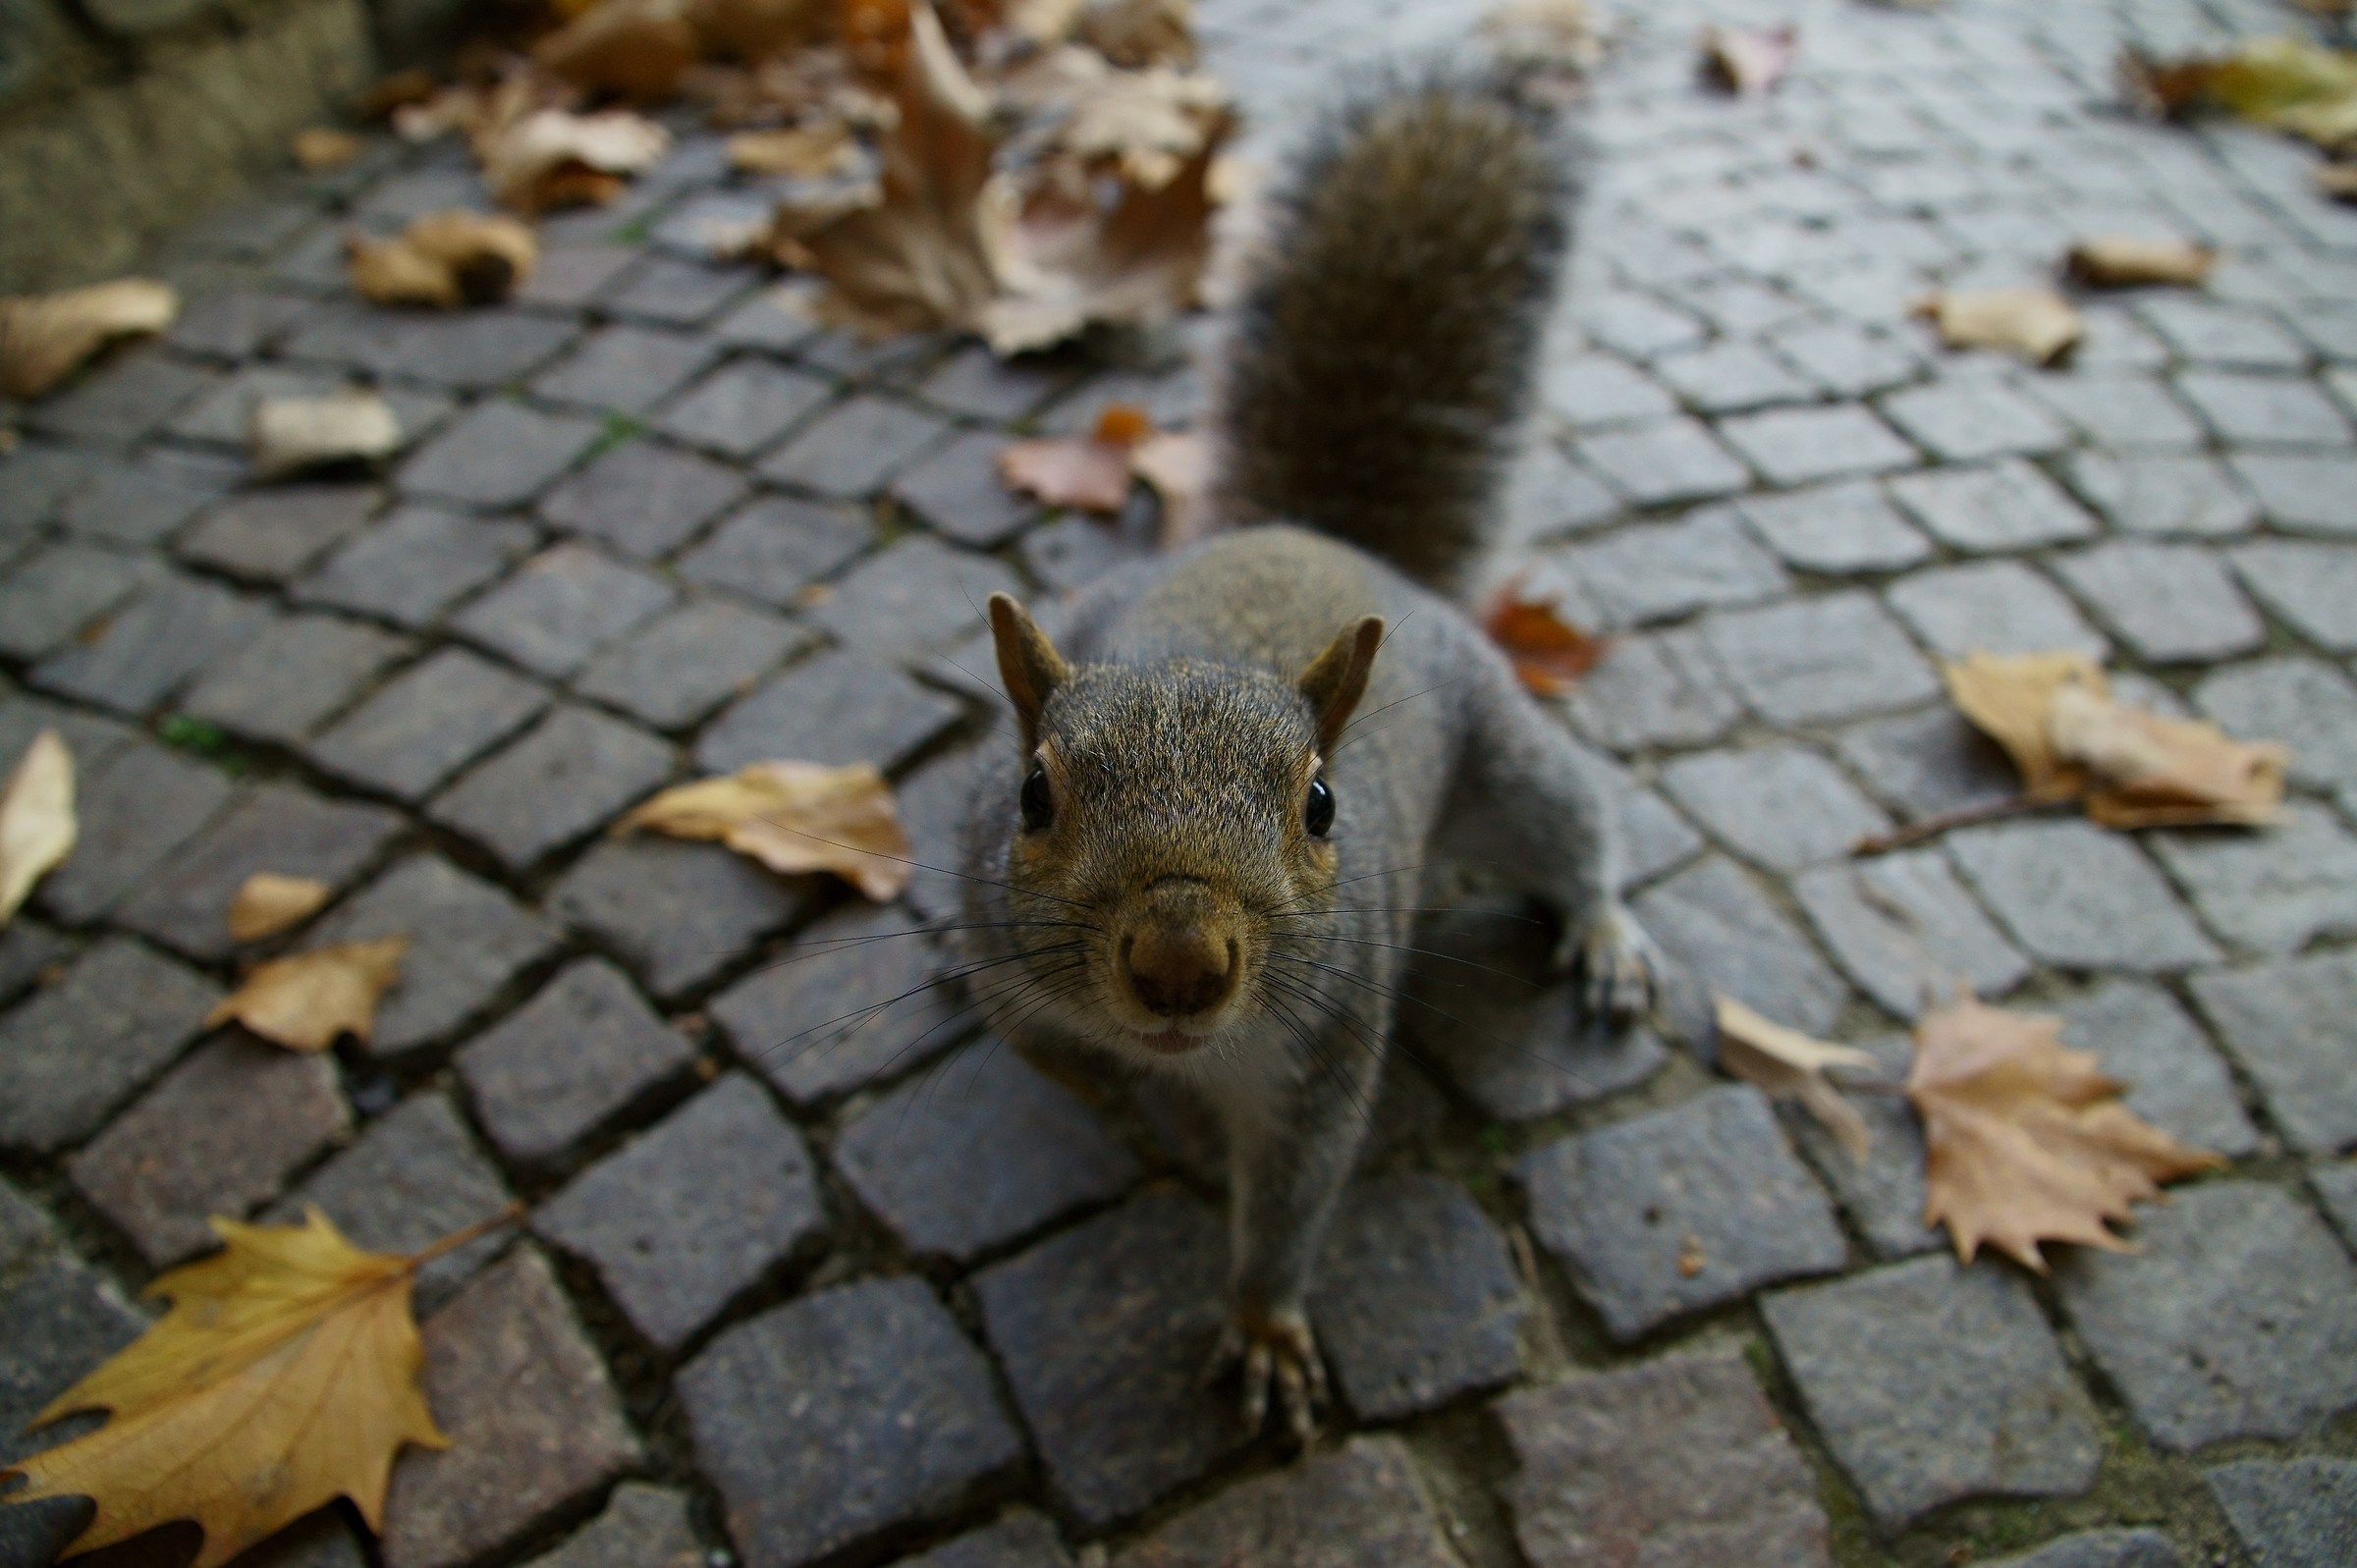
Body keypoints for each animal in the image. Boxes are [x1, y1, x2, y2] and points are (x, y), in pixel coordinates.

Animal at [957, 67, 1655, 1440]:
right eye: (1031, 794)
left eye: (1323, 805)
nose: (1179, 965)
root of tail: (1314, 534)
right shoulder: (985, 936)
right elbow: (1042, 1049)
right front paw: (1119, 1103)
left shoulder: (1324, 1051)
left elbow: (1292, 1194)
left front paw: (1265, 1321)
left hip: (1505, 762)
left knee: (1572, 822)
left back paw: (1602, 929)